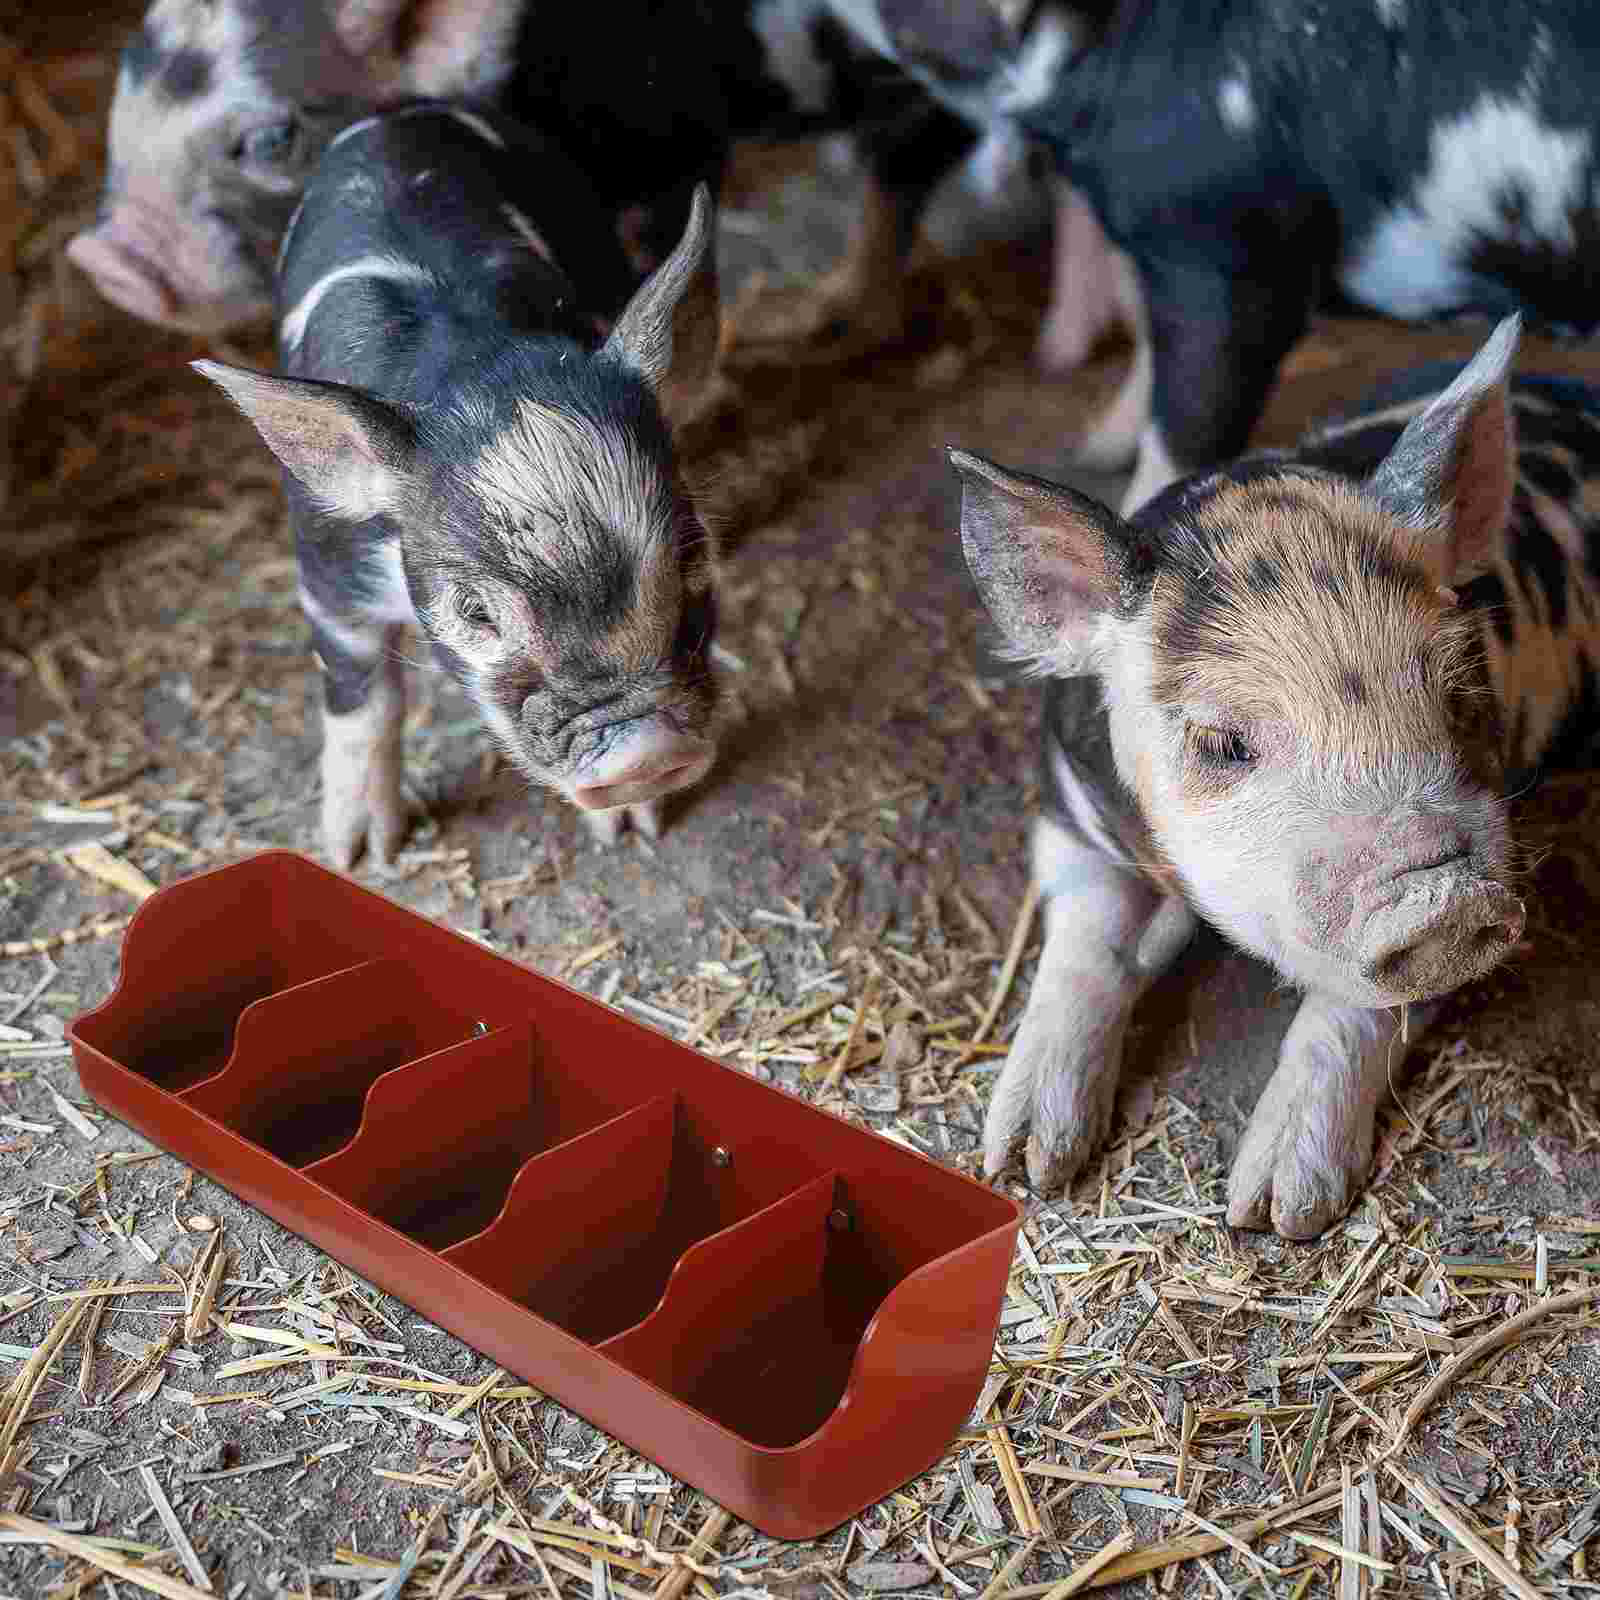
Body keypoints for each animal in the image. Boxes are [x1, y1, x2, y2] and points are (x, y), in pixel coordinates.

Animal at [195, 105, 721, 867]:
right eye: (475, 612)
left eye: (692, 556)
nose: (645, 753)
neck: (478, 364)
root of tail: (400, 113)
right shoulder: (327, 570)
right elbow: (362, 696)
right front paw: (360, 855)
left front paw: (635, 830)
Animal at [948, 314, 1600, 1238]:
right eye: (1223, 743)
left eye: (1455, 691)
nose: (1443, 895)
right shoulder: (1064, 809)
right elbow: (1086, 942)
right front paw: (1026, 1164)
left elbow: (1361, 1008)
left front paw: (1273, 1212)